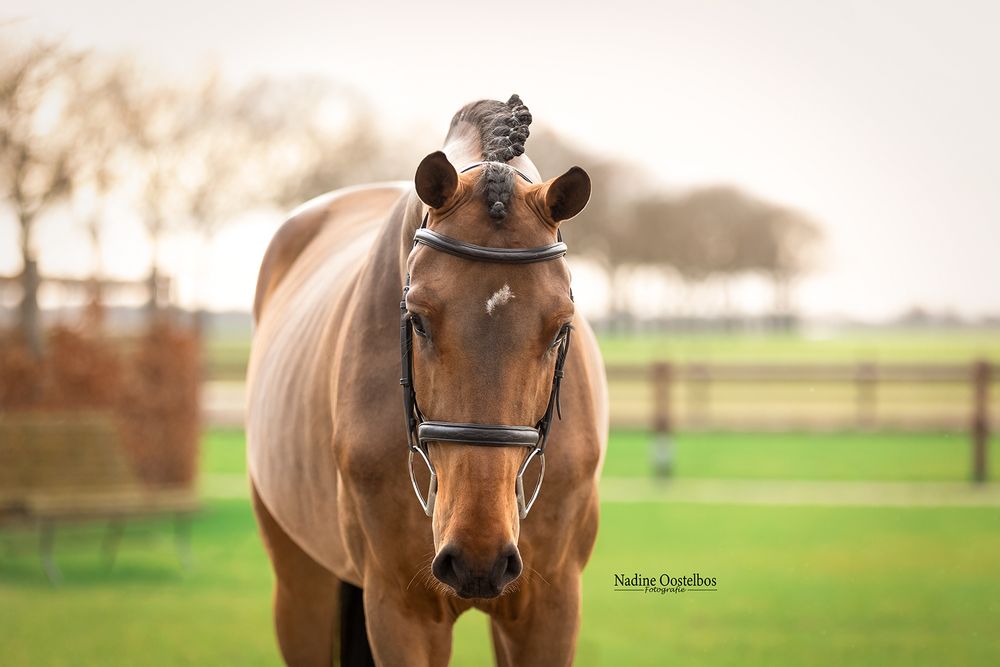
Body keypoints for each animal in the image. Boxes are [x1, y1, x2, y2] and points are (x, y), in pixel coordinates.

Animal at [246, 94, 608, 666]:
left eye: (560, 326)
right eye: (416, 319)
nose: (478, 555)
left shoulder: (548, 611)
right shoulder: (401, 609)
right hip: (300, 583)